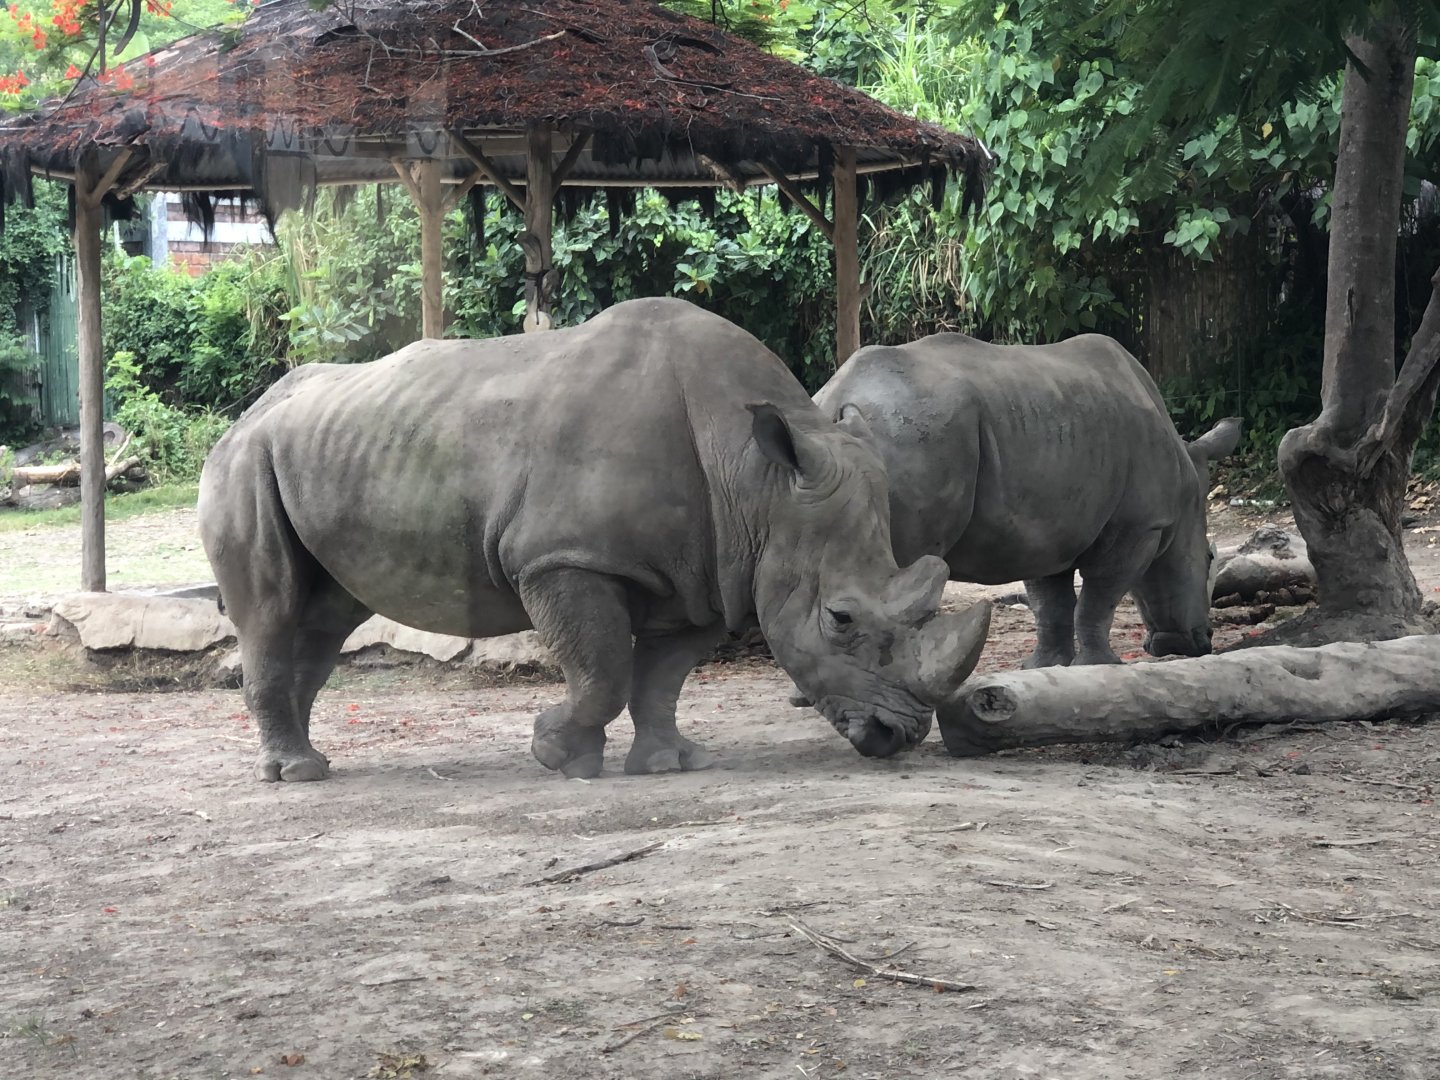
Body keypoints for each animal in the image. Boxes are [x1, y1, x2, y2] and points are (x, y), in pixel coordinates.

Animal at [198, 298, 991, 782]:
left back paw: (314, 761)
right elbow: (604, 667)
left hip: (326, 451)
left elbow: (662, 676)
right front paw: (558, 754)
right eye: (840, 619)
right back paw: (297, 774)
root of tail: (248, 413)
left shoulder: (708, 575)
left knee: (326, 616)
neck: (759, 483)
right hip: (243, 462)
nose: (899, 736)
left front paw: (673, 763)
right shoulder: (562, 558)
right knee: (273, 611)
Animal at [812, 333, 1240, 668]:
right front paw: (1102, 666)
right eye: (1207, 559)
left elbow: (1051, 600)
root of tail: (837, 398)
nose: (1199, 643)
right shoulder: (1140, 525)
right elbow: (1101, 595)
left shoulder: (1048, 526)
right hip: (910, 433)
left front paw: (1045, 666)